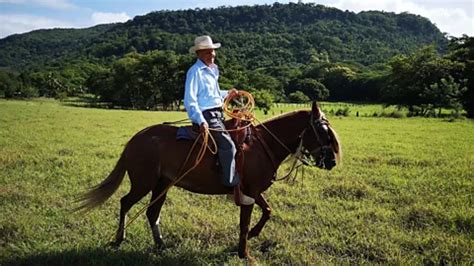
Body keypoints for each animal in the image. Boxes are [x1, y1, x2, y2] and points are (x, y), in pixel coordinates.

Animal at [79, 101, 342, 260]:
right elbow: (245, 222)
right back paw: (119, 239)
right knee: (125, 202)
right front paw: (244, 253)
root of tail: (135, 139)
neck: (261, 145)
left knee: (152, 212)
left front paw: (254, 235)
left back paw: (160, 244)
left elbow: (268, 211)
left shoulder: (254, 190)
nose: (331, 161)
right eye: (324, 132)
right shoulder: (249, 191)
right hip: (144, 182)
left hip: (162, 184)